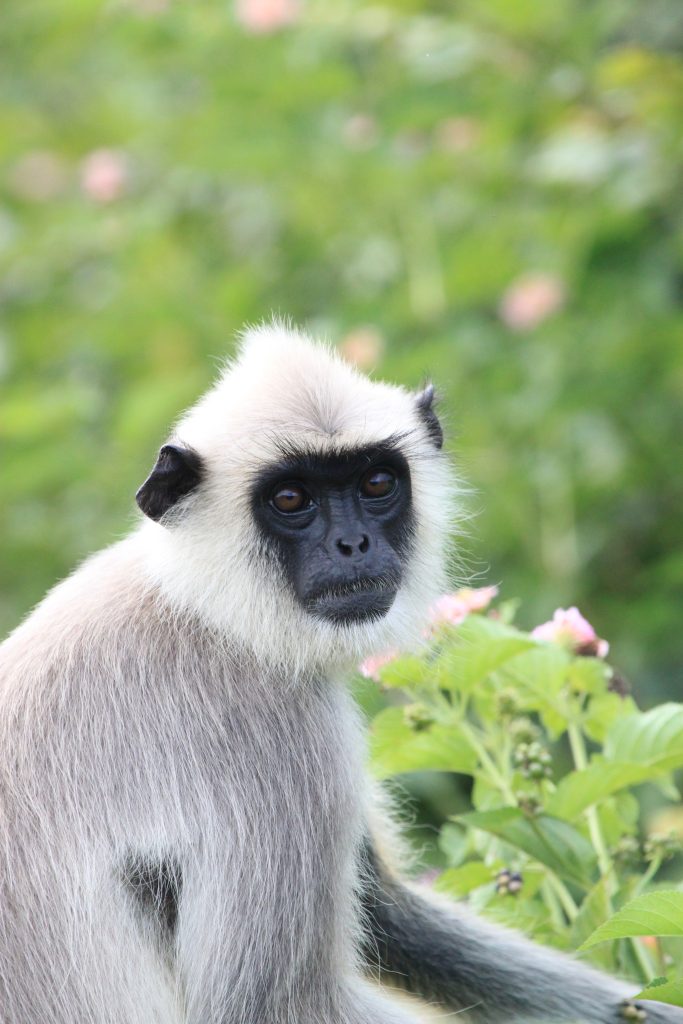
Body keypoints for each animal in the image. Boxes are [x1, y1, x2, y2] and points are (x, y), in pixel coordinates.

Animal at [0, 322, 679, 1024]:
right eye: (291, 499)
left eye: (376, 484)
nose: (352, 545)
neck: (203, 610)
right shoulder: (271, 732)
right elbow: (271, 1005)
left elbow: (389, 918)